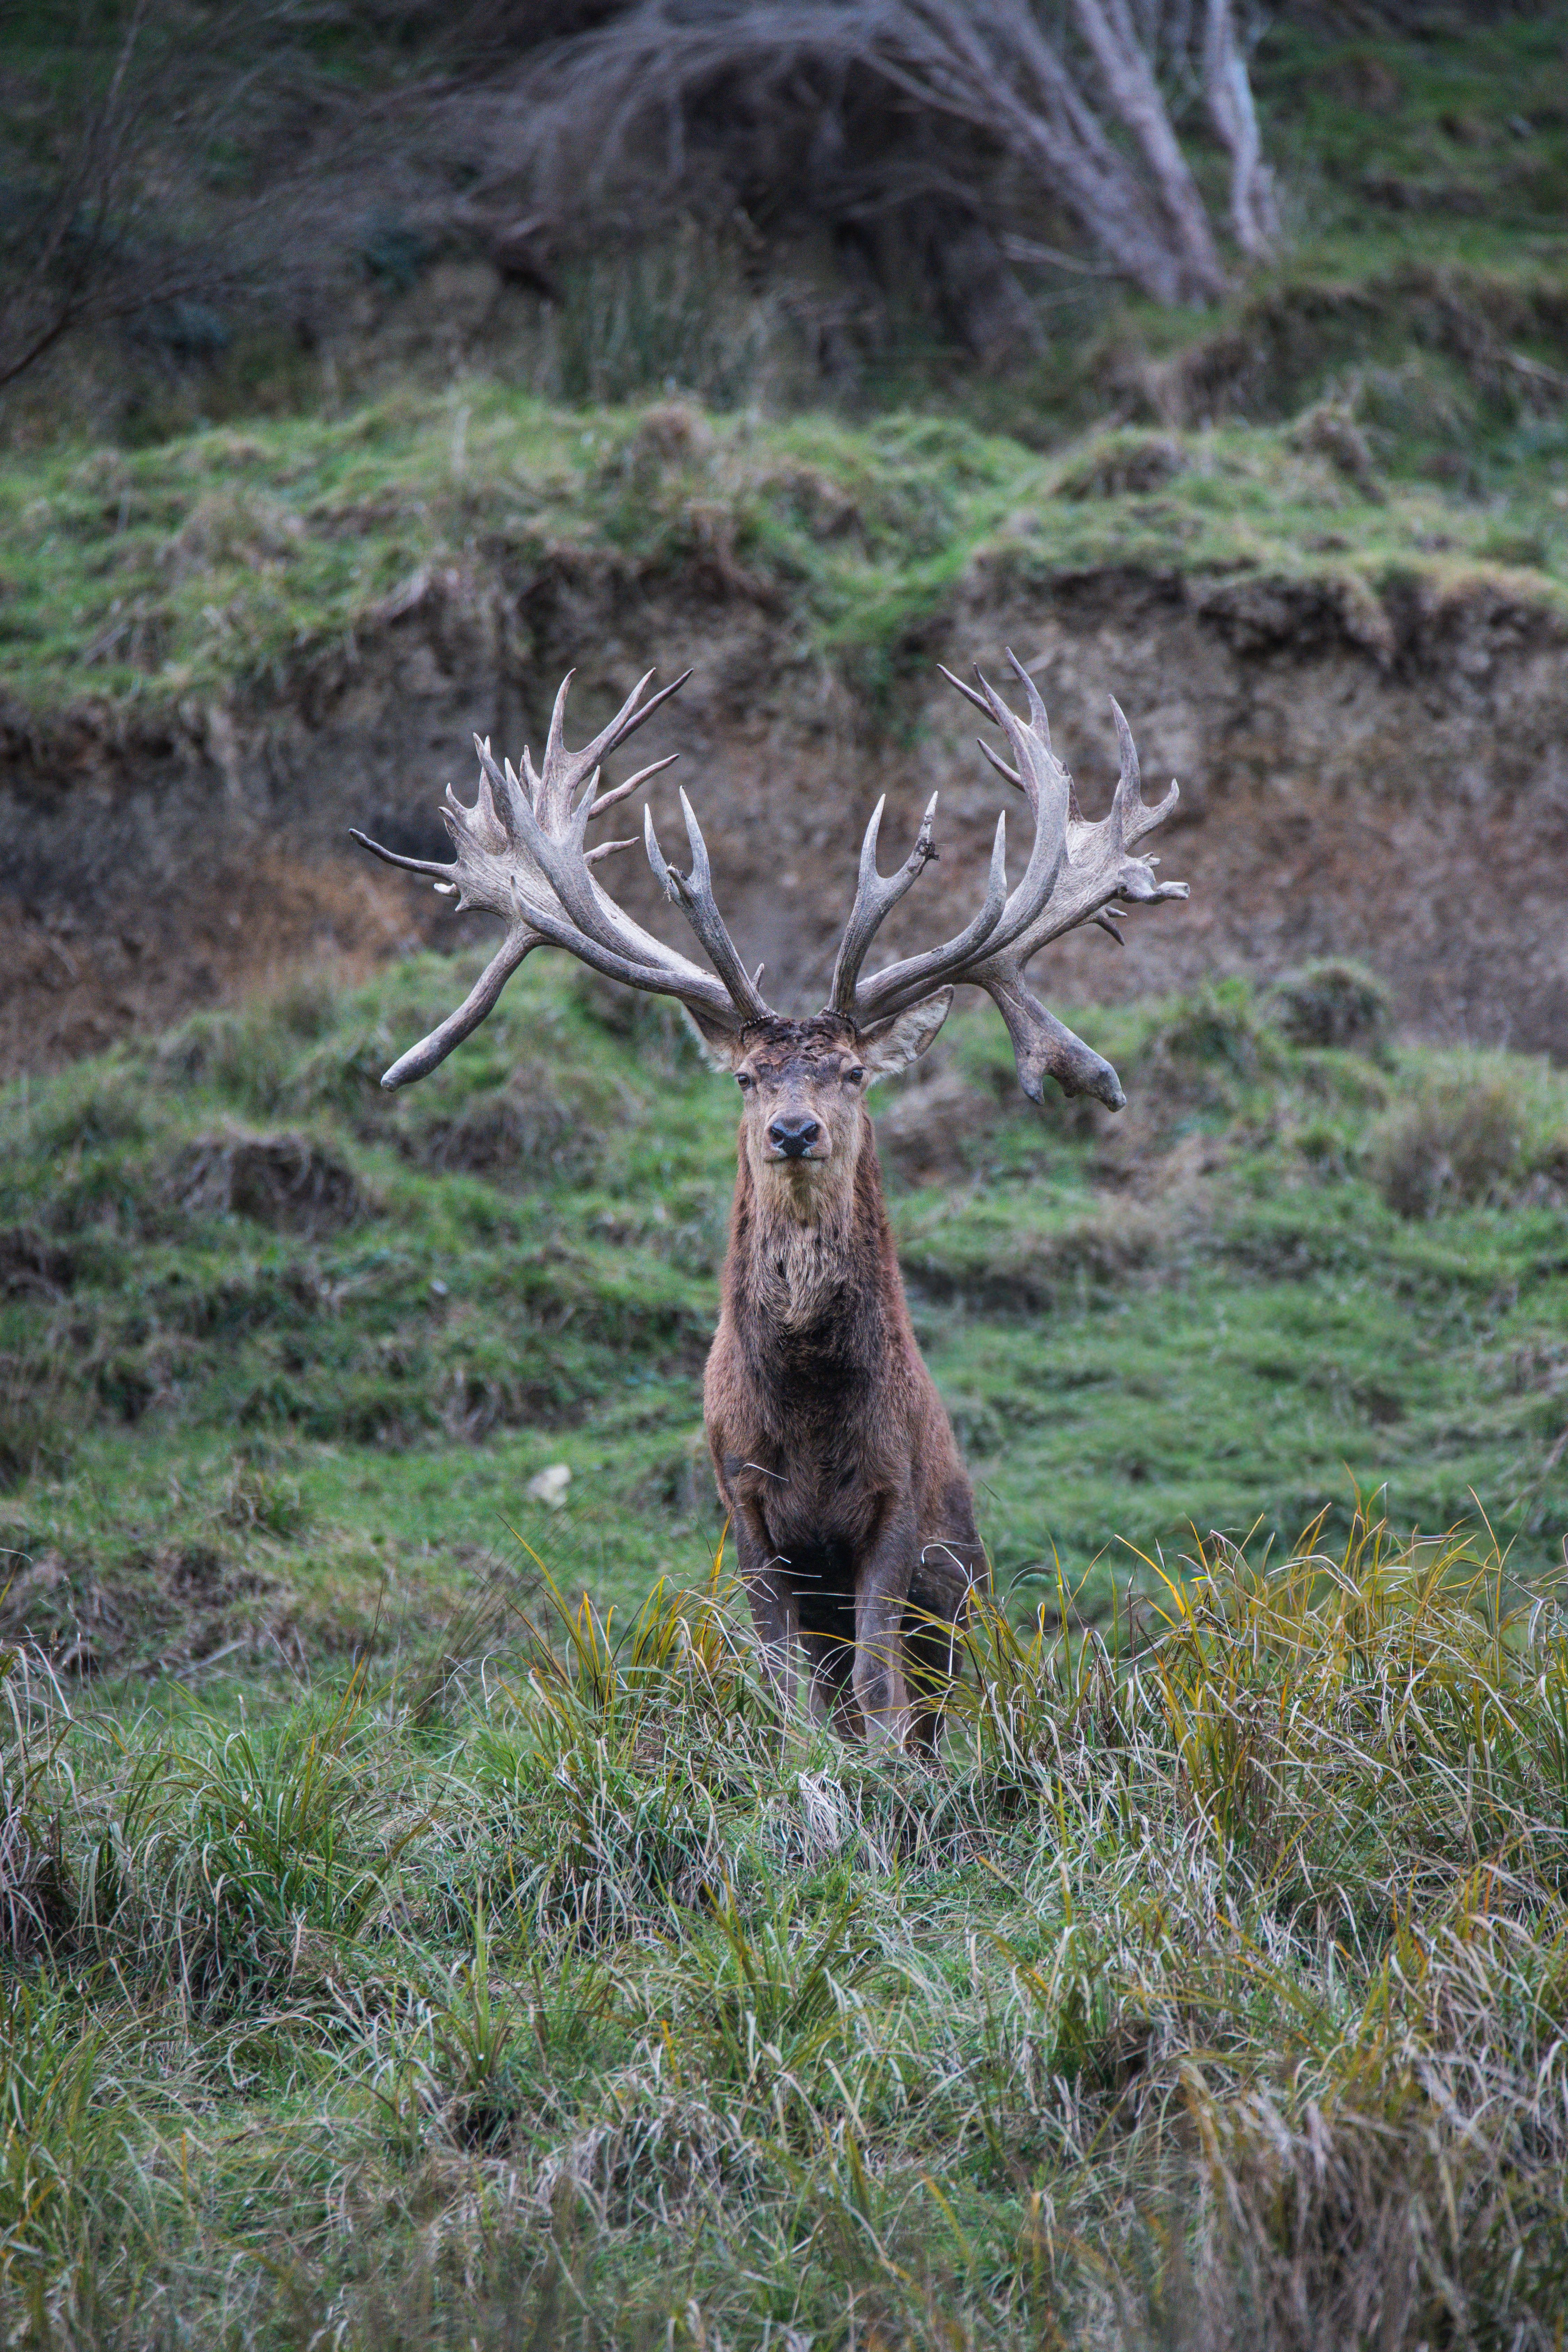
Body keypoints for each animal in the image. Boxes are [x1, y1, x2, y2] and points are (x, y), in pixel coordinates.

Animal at [351, 652, 1187, 1749]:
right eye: (749, 1076)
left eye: (851, 1071)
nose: (795, 1129)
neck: (808, 1416)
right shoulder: (740, 1499)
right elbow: (783, 1675)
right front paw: (800, 1760)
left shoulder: (896, 1500)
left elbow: (878, 1678)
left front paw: (884, 1764)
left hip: (969, 1588)